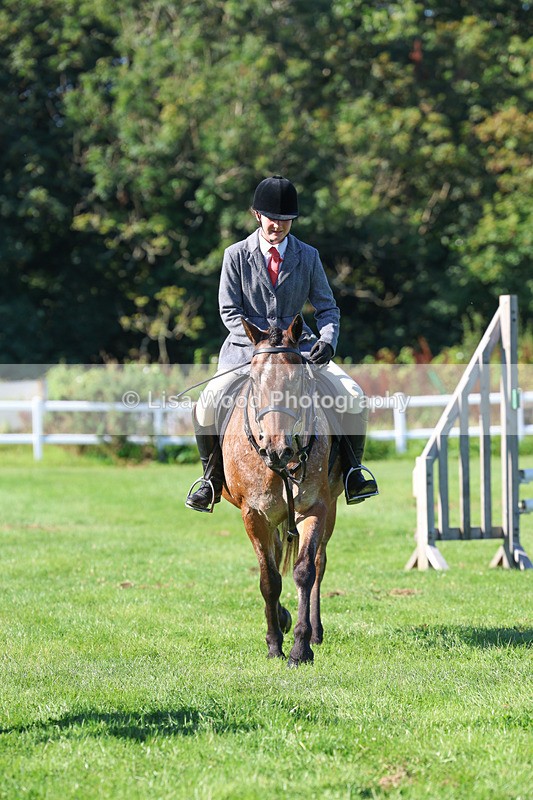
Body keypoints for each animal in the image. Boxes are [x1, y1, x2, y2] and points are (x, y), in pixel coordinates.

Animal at [221, 314, 343, 666]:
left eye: (296, 380)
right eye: (254, 381)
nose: (277, 450)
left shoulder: (315, 508)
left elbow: (305, 571)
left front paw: (301, 649)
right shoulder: (254, 515)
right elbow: (269, 578)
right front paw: (275, 642)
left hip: (330, 509)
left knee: (320, 563)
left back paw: (313, 631)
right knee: (275, 557)